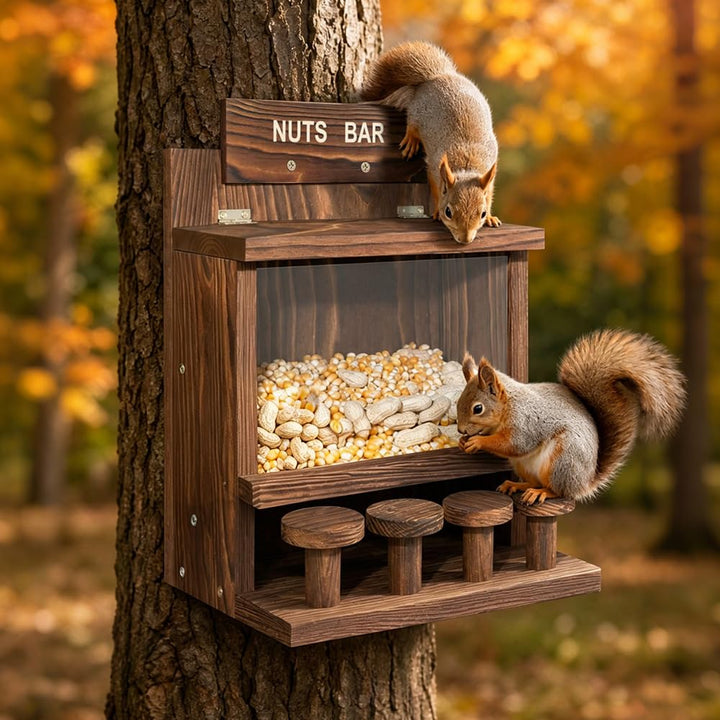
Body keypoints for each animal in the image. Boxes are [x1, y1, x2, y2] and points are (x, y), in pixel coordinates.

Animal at [360, 41, 500, 245]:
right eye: (448, 211)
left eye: (481, 214)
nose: (465, 240)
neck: (466, 165)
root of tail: (437, 76)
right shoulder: (434, 168)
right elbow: (434, 189)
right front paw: (435, 212)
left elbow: (489, 195)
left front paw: (491, 217)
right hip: (418, 111)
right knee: (412, 122)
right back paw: (411, 139)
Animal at [456, 329, 686, 504]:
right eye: (458, 402)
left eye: (478, 408)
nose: (460, 429)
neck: (508, 406)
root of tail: (584, 483)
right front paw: (462, 441)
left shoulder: (525, 424)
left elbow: (513, 444)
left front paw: (477, 442)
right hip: (524, 465)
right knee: (536, 481)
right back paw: (517, 484)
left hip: (563, 460)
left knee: (558, 491)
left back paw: (541, 492)